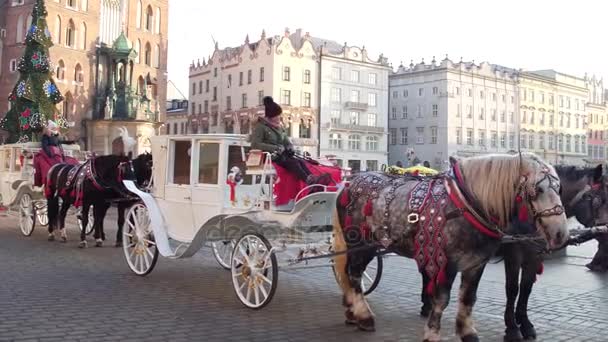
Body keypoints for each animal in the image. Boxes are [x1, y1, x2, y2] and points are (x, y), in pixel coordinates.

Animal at [330, 153, 568, 342]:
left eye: (559, 188)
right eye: (537, 190)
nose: (560, 234)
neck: (466, 204)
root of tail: (349, 183)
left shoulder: (476, 262)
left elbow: (468, 297)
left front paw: (468, 332)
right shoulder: (447, 262)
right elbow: (442, 299)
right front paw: (432, 333)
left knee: (350, 274)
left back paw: (352, 312)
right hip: (360, 244)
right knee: (354, 274)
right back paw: (363, 316)